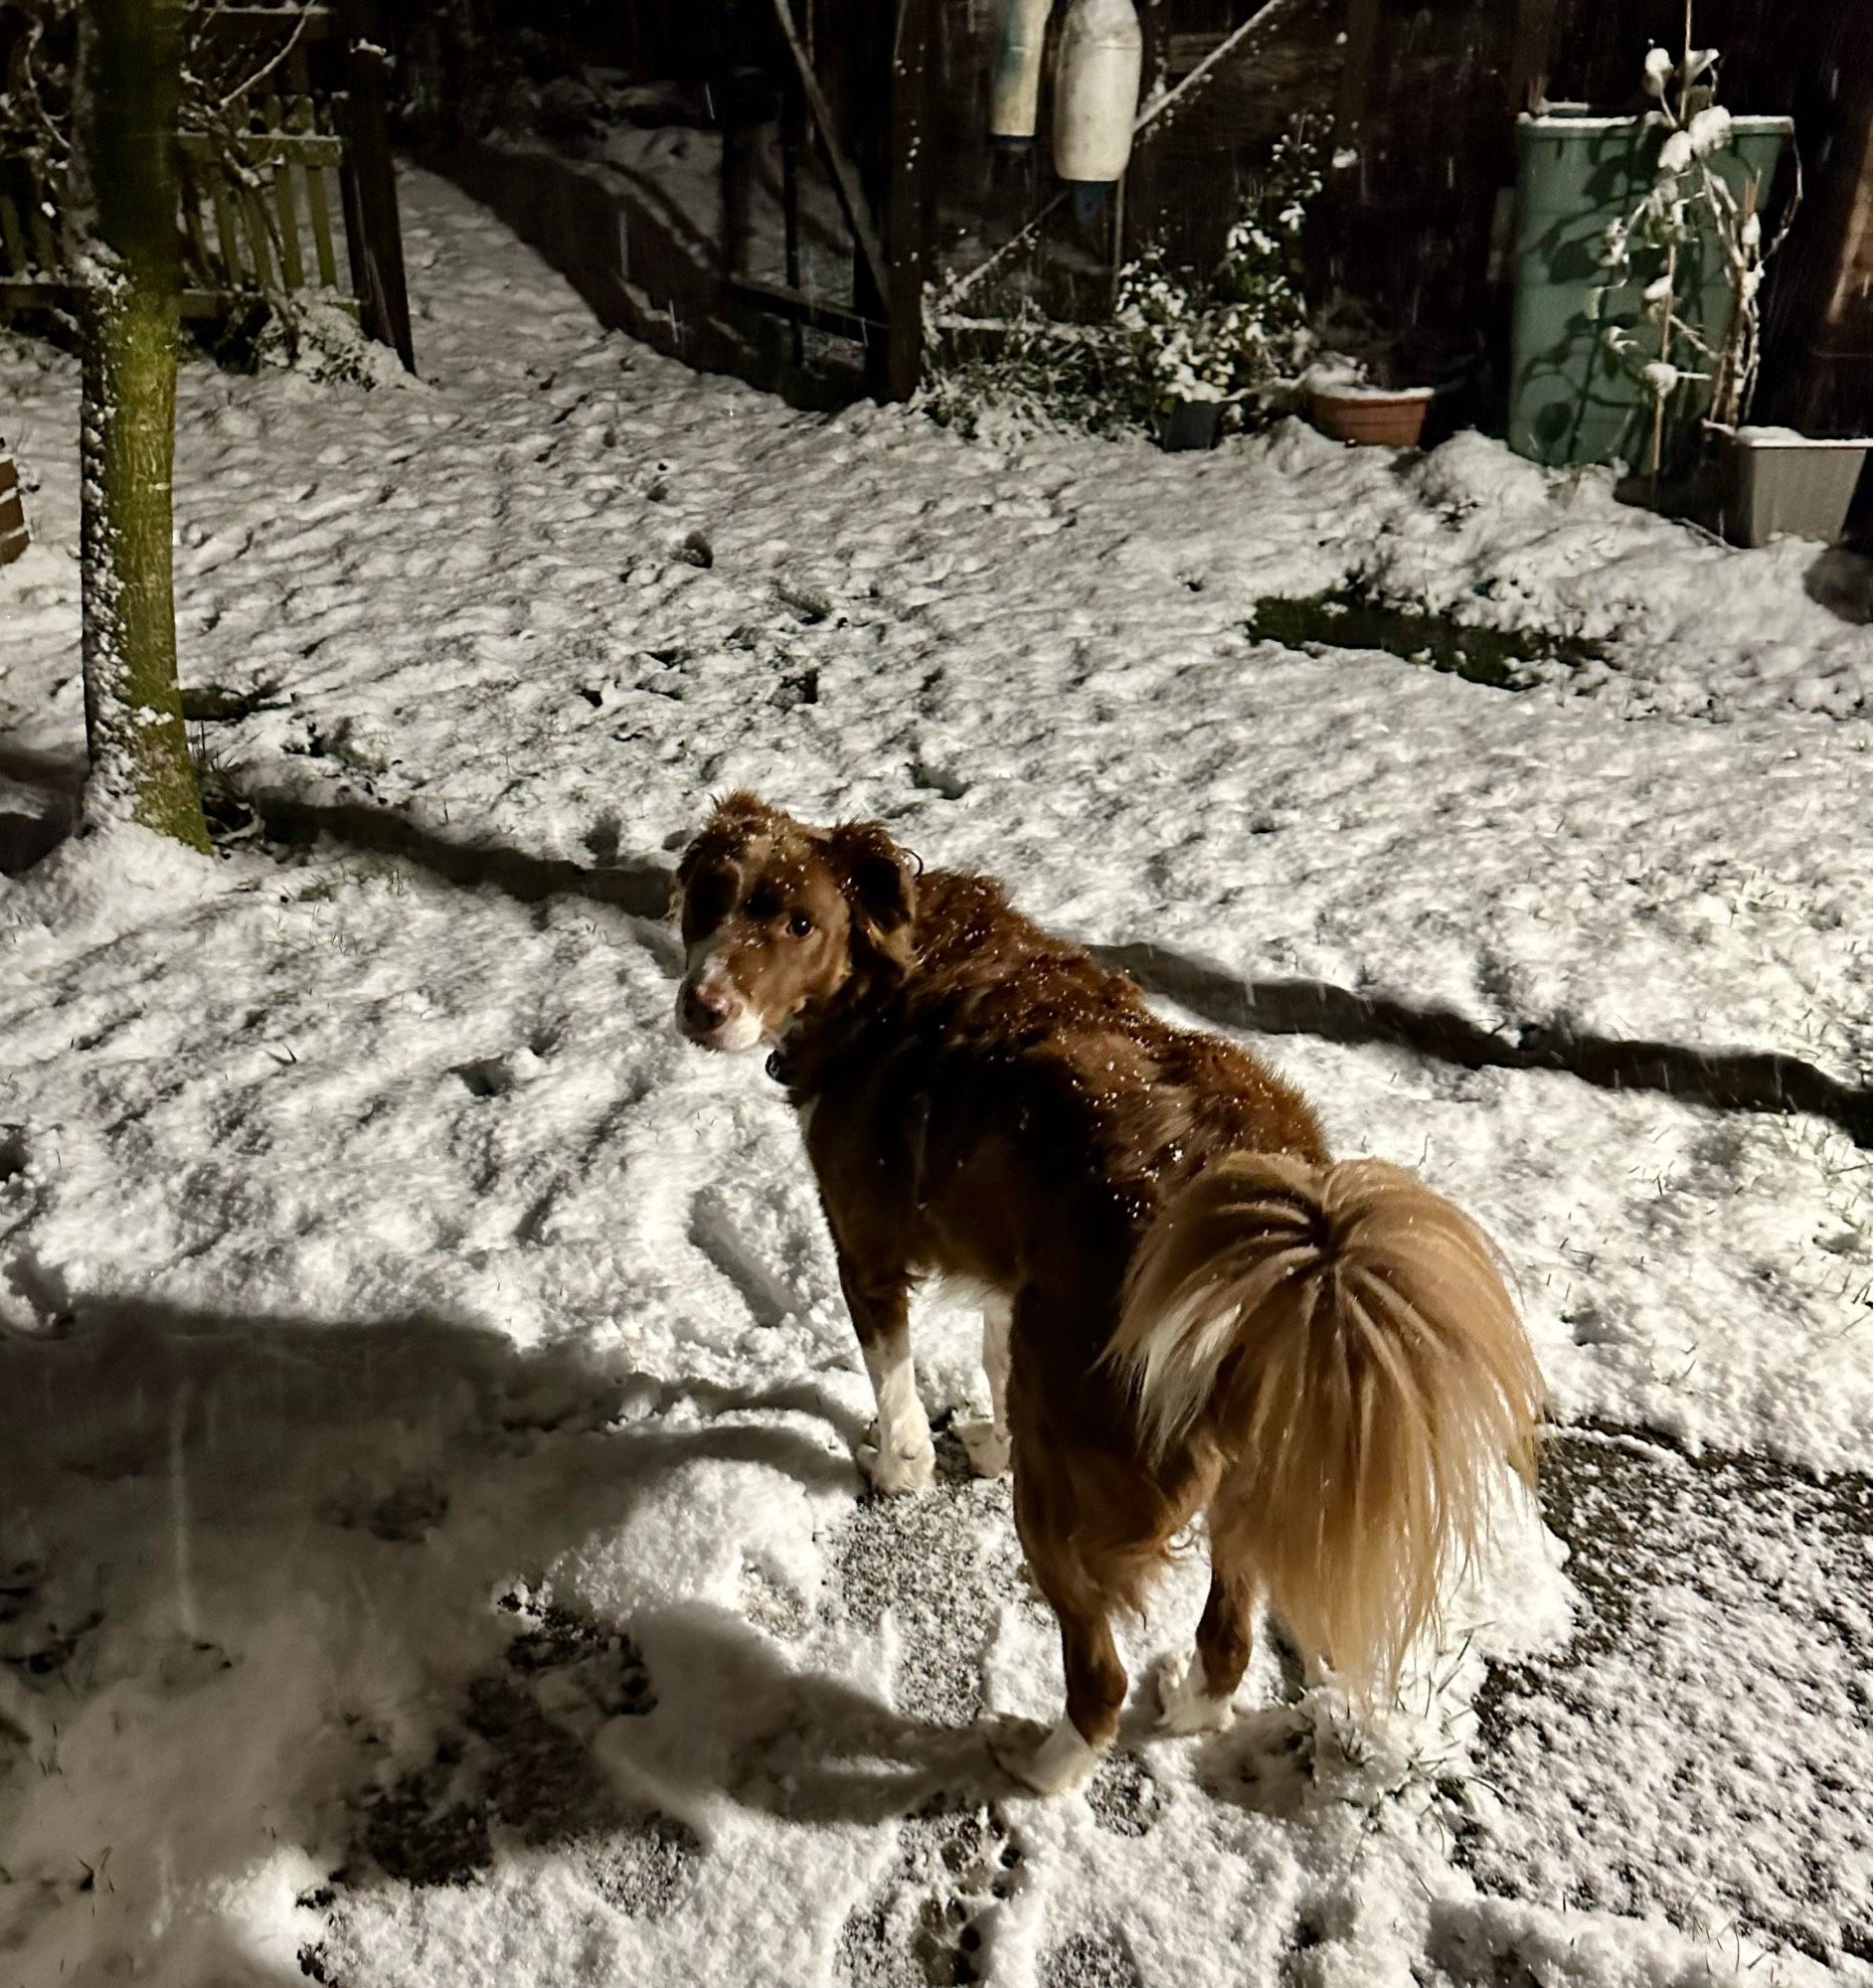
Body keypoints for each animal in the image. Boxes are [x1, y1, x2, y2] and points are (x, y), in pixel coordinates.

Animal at [672, 795, 1543, 1805]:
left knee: (1098, 1678)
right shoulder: (1018, 1272)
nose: (701, 1007)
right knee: (1228, 1631)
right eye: (707, 899)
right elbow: (993, 1354)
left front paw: (900, 1467)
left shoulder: (867, 1249)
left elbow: (892, 1384)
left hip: (1066, 1485)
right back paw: (1194, 1704)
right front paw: (987, 1439)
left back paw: (1038, 1762)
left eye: (798, 924)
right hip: (1241, 1461)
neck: (885, 975)